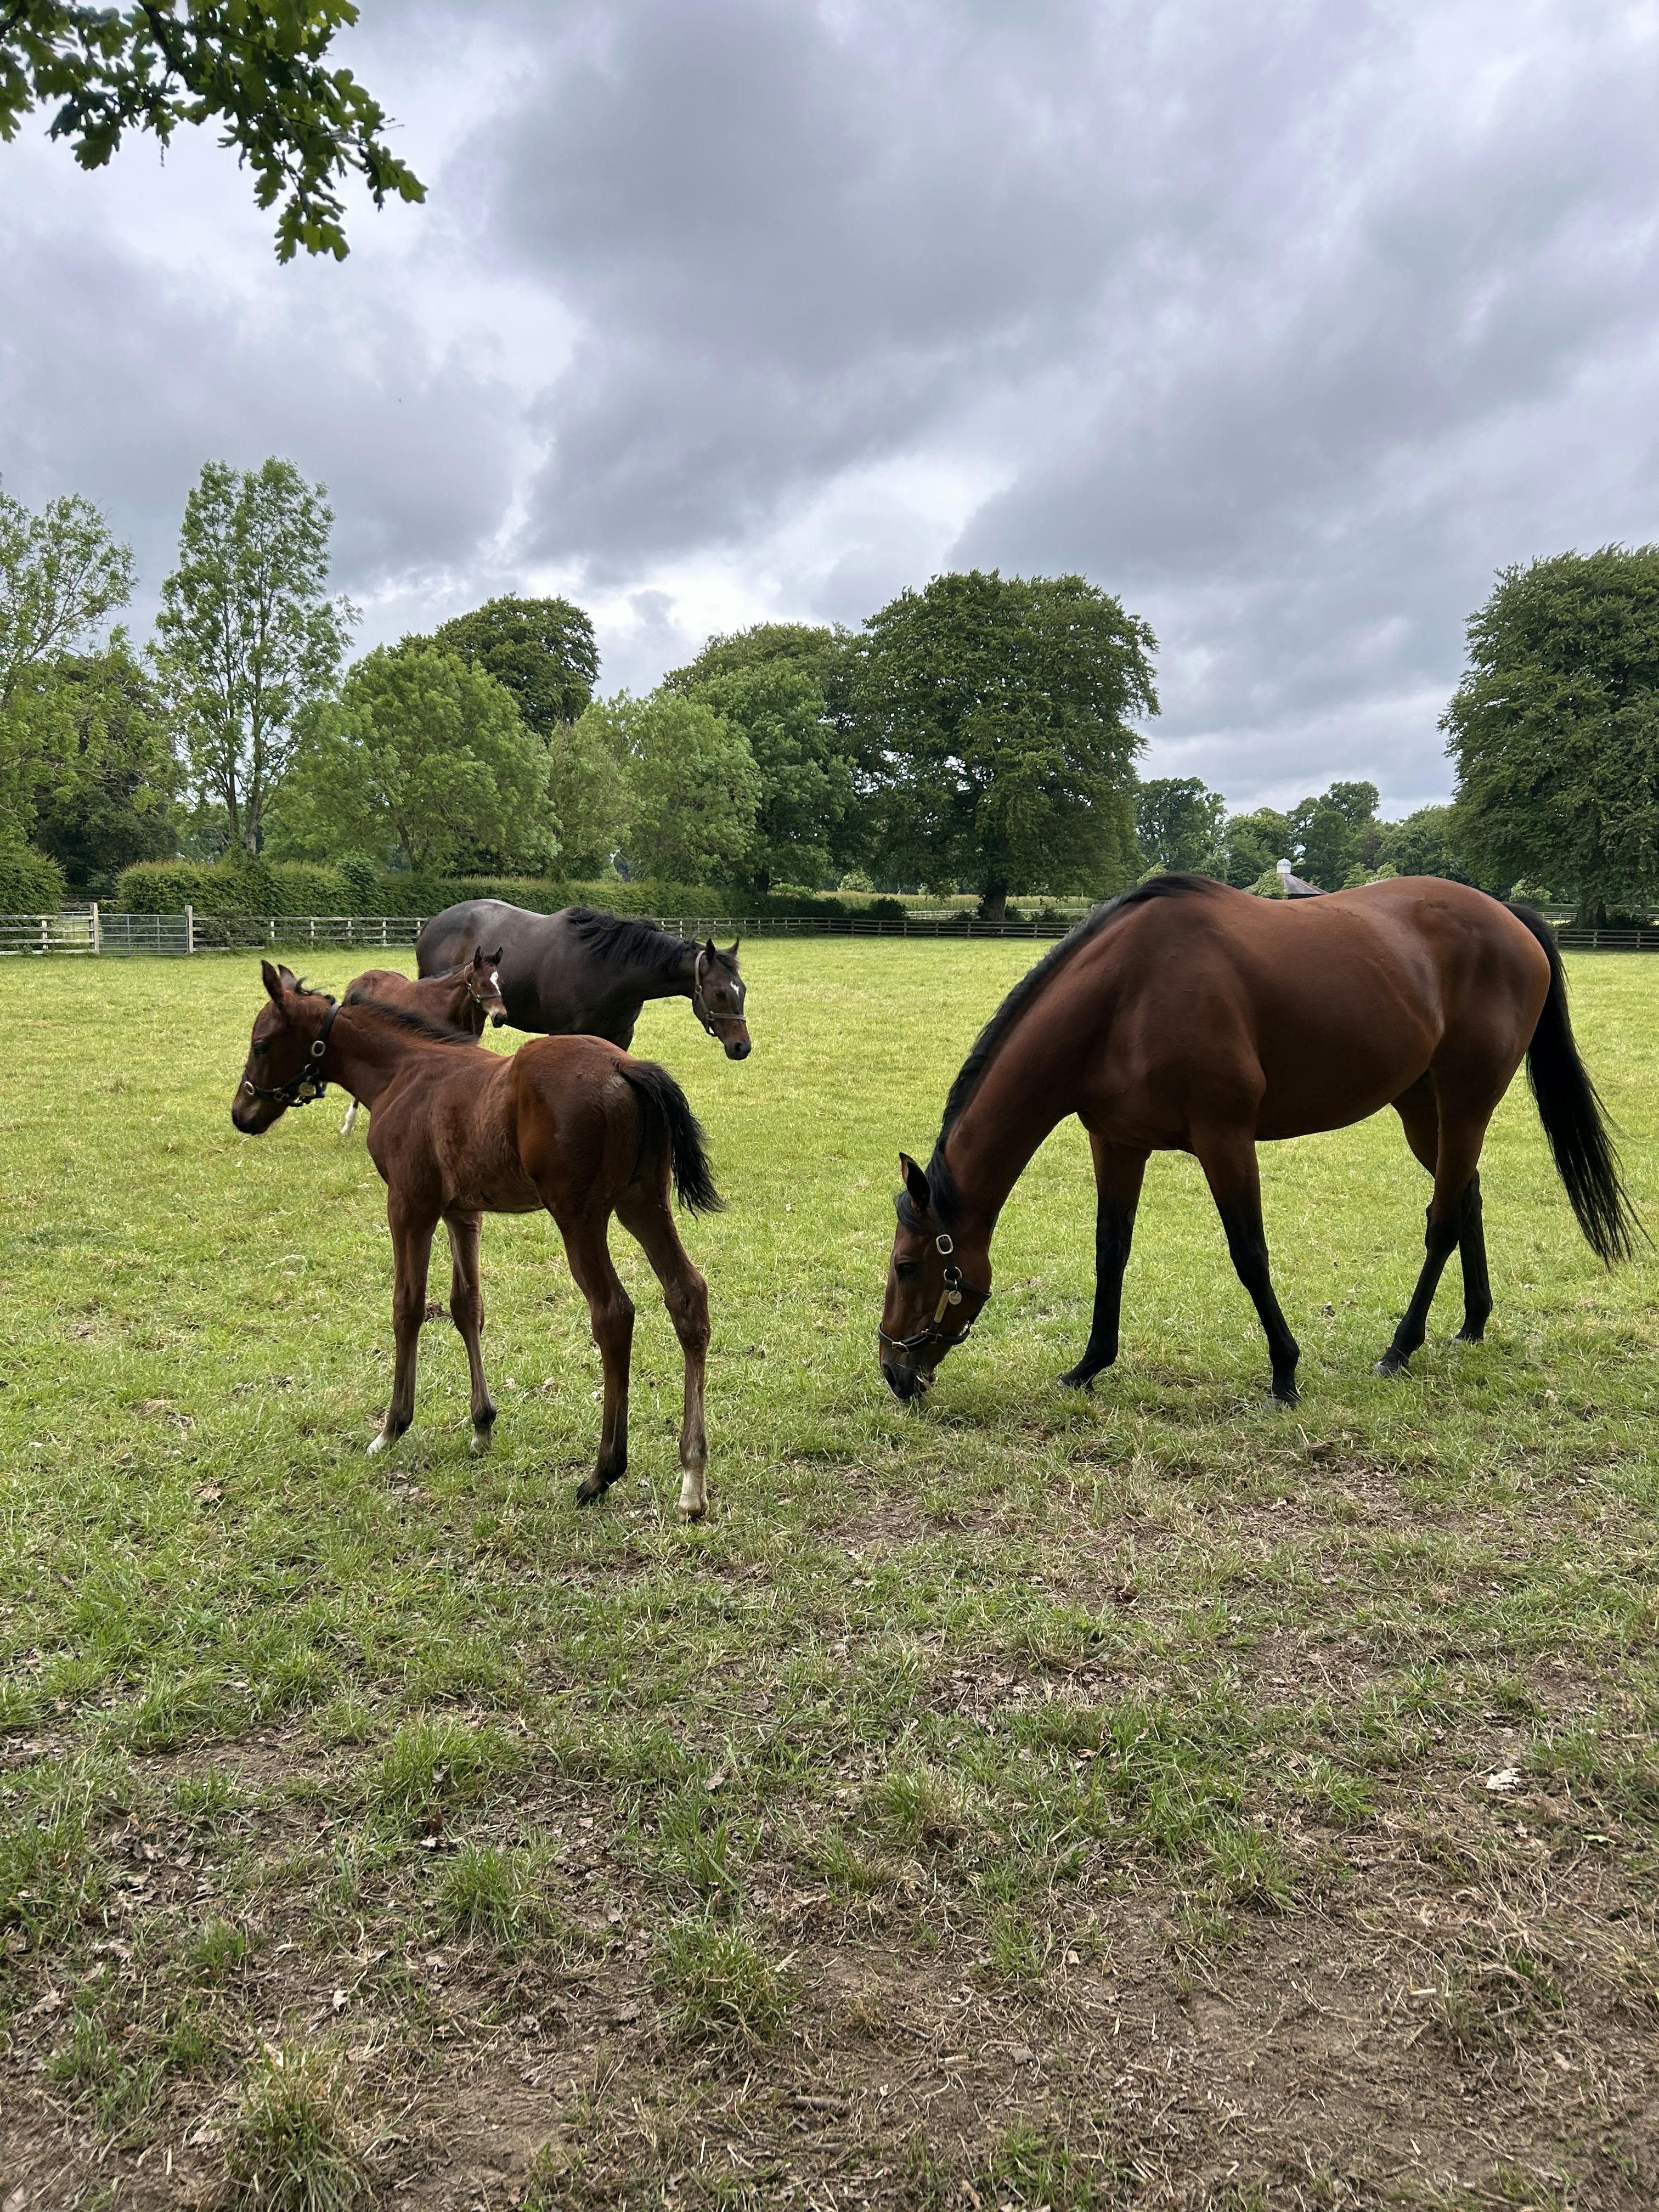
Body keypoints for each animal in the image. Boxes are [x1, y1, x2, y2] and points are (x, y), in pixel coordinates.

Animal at [337, 947, 507, 1137]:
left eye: (500, 982)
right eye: (482, 983)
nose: (500, 1017)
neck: (445, 1005)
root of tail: (358, 981)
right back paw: (348, 1126)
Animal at [415, 901, 751, 1059]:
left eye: (743, 990)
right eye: (720, 993)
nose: (742, 1047)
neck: (607, 969)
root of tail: (430, 925)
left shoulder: (620, 1036)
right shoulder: (565, 1035)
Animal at [879, 875, 1642, 1406]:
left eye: (908, 1268)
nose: (893, 1371)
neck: (1125, 997)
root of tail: (1511, 919)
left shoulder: (1225, 1138)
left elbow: (1249, 1254)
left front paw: (1285, 1373)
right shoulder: (1118, 1144)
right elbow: (1110, 1252)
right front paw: (1089, 1365)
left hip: (1464, 1104)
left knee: (1442, 1220)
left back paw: (1401, 1347)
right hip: (1424, 1111)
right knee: (1468, 1199)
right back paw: (1474, 1323)